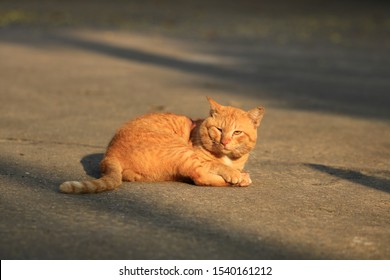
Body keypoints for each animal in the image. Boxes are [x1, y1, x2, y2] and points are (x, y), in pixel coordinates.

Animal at [58, 97, 266, 194]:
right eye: (219, 130)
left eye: (237, 132)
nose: (225, 142)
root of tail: (109, 154)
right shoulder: (201, 157)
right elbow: (217, 165)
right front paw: (235, 174)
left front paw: (238, 172)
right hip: (181, 151)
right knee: (199, 177)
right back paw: (241, 179)